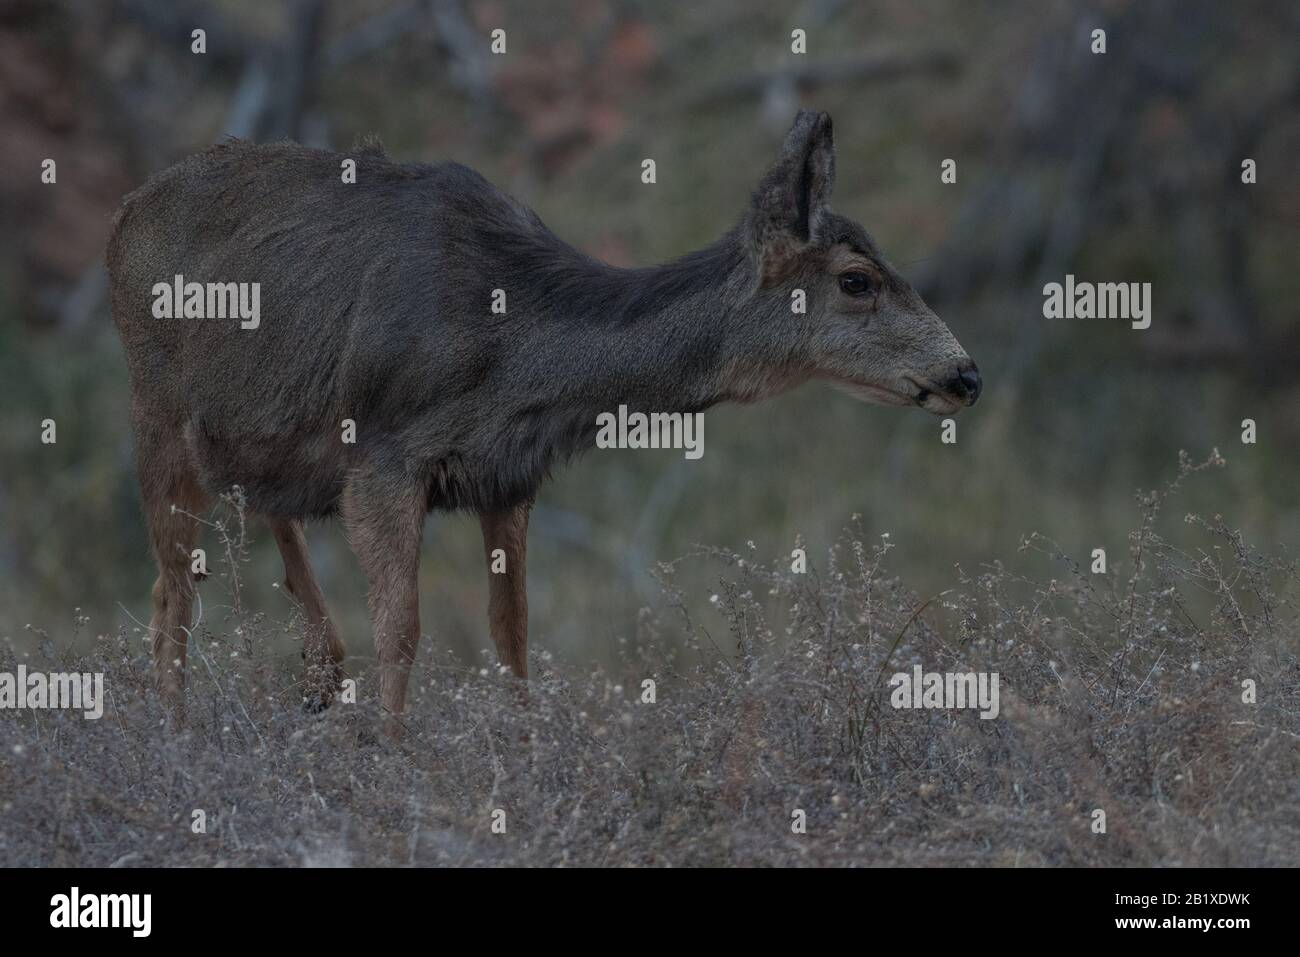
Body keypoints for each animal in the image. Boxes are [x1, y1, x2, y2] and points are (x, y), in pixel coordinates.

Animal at [107, 110, 980, 730]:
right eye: (858, 279)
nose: (965, 373)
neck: (515, 351)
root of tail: (124, 214)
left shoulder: (506, 475)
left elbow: (513, 632)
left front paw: (523, 753)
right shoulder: (384, 458)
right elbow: (405, 629)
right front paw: (393, 762)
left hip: (257, 434)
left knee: (245, 522)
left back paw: (320, 672)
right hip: (156, 407)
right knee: (170, 595)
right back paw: (179, 741)